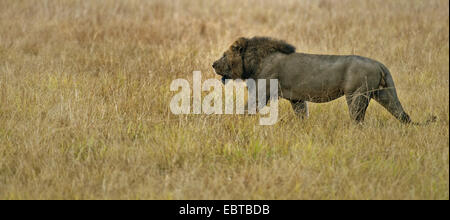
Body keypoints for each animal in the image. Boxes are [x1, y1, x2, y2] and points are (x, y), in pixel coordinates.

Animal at [213, 37, 438, 124]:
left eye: (224, 55)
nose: (213, 64)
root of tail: (379, 64)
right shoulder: (297, 99)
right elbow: (302, 115)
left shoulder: (262, 92)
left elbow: (247, 109)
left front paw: (235, 122)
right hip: (383, 93)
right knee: (402, 114)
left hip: (356, 95)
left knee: (358, 120)